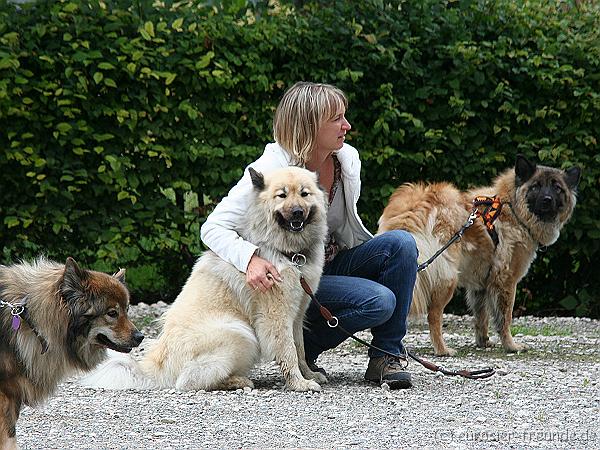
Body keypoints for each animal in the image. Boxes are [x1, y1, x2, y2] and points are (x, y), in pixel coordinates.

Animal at [380, 156, 580, 356]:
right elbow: (505, 318)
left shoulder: (481, 284)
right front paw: (511, 345)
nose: (547, 200)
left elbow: (481, 316)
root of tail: (417, 204)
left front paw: (483, 341)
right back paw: (442, 349)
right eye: (536, 186)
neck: (512, 208)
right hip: (448, 277)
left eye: (557, 188)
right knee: (434, 315)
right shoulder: (505, 280)